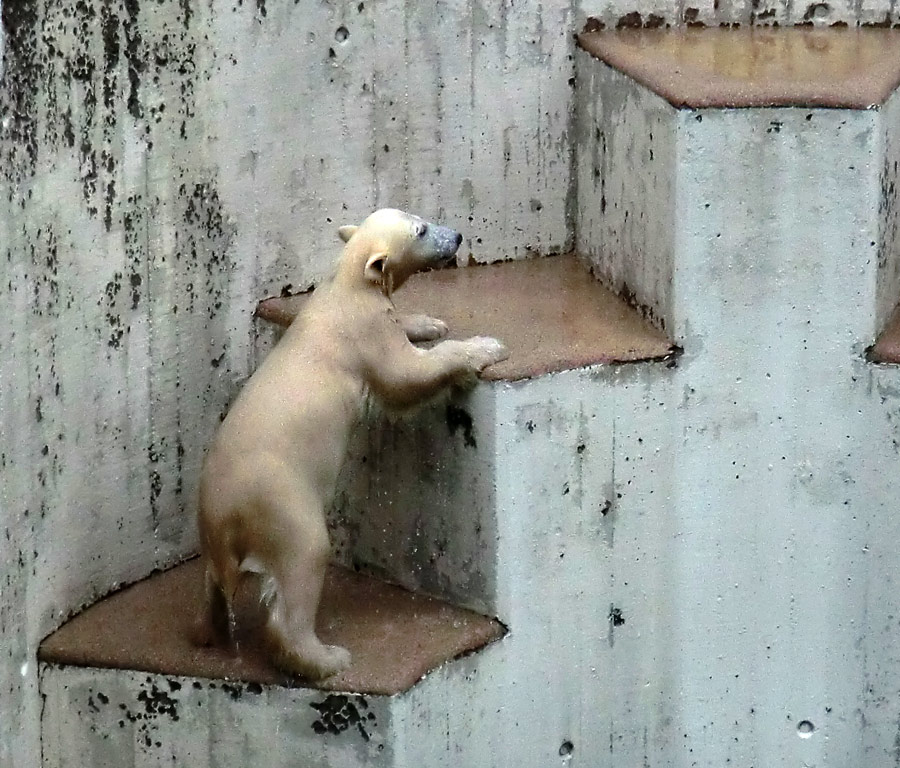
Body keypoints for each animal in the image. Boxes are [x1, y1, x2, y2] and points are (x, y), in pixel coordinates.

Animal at [194, 208, 510, 680]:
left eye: (418, 216)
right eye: (420, 230)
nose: (455, 236)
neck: (346, 284)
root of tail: (221, 518)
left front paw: (427, 322)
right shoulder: (363, 331)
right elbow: (403, 376)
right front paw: (484, 348)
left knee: (213, 582)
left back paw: (209, 630)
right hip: (280, 499)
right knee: (302, 561)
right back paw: (322, 658)